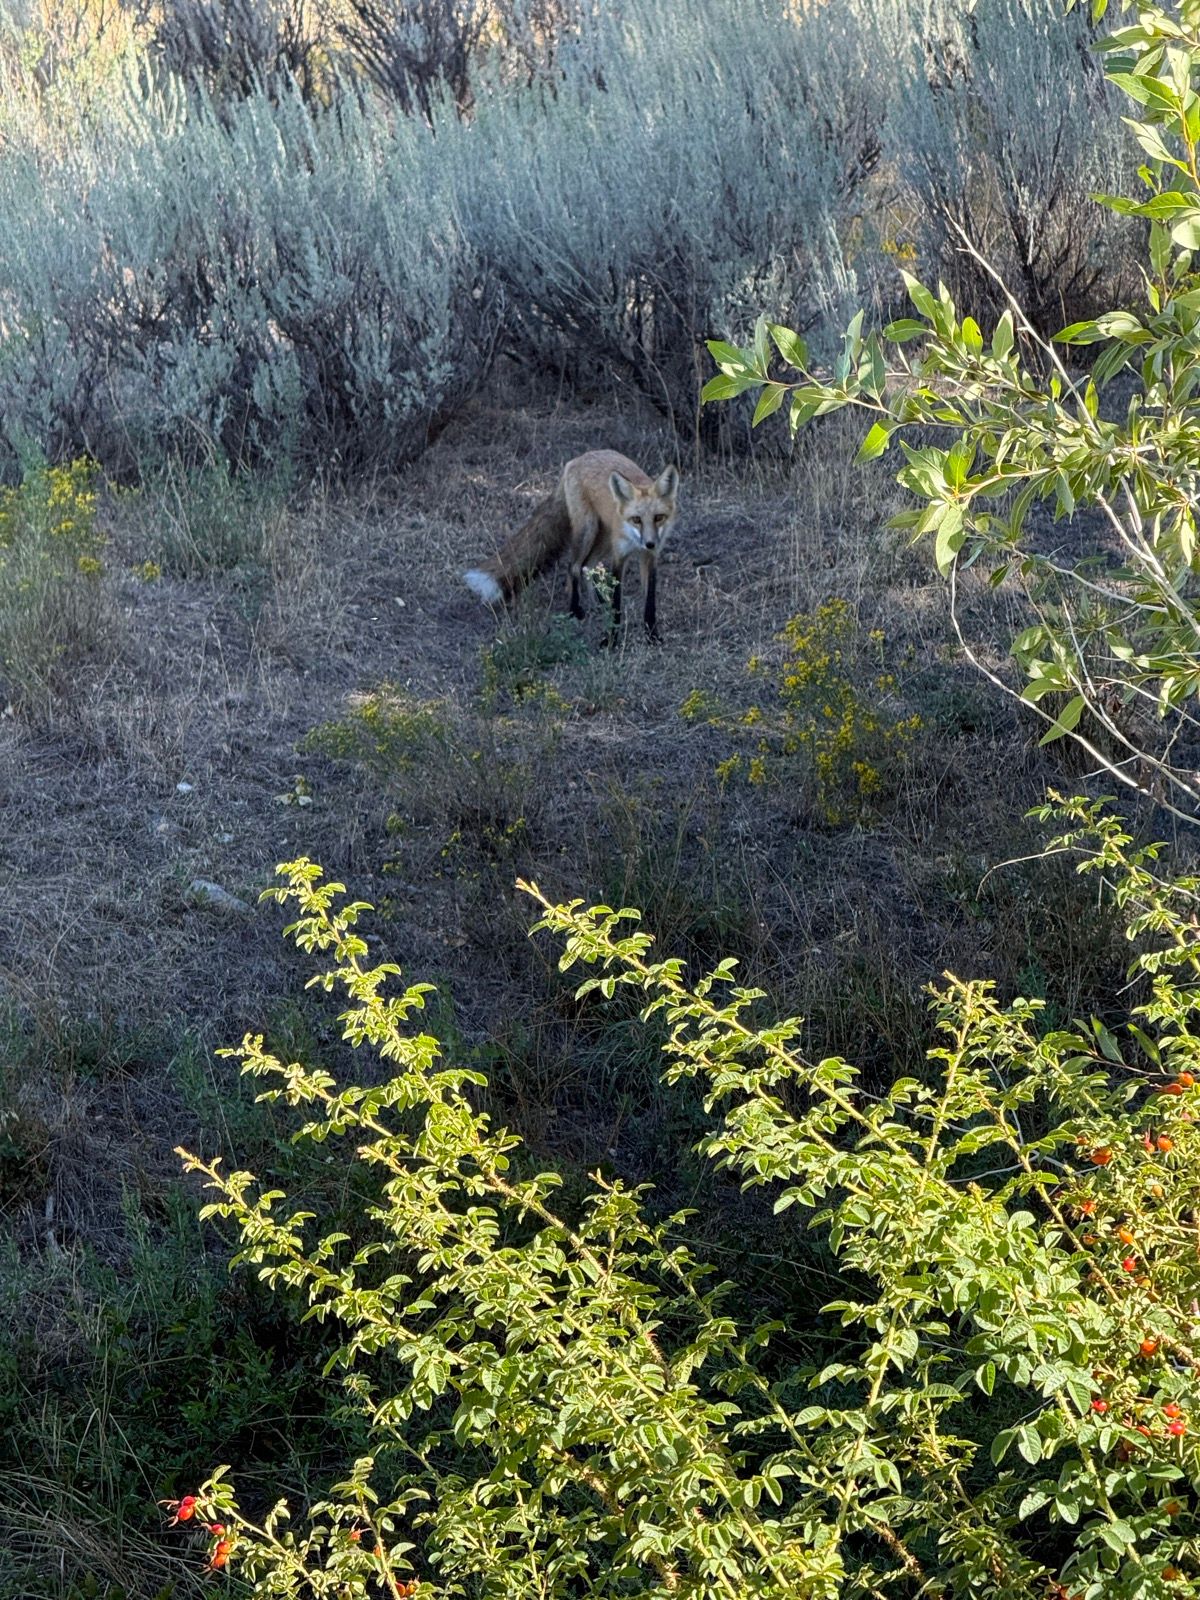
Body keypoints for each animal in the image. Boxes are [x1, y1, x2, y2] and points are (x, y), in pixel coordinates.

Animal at [462, 451, 681, 641]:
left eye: (659, 518)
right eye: (636, 519)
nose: (650, 543)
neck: (636, 542)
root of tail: (576, 459)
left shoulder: (649, 558)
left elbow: (649, 601)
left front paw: (652, 635)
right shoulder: (619, 556)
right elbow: (617, 600)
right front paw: (611, 639)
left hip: (603, 537)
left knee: (588, 565)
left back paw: (600, 602)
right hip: (588, 530)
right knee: (574, 566)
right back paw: (576, 610)